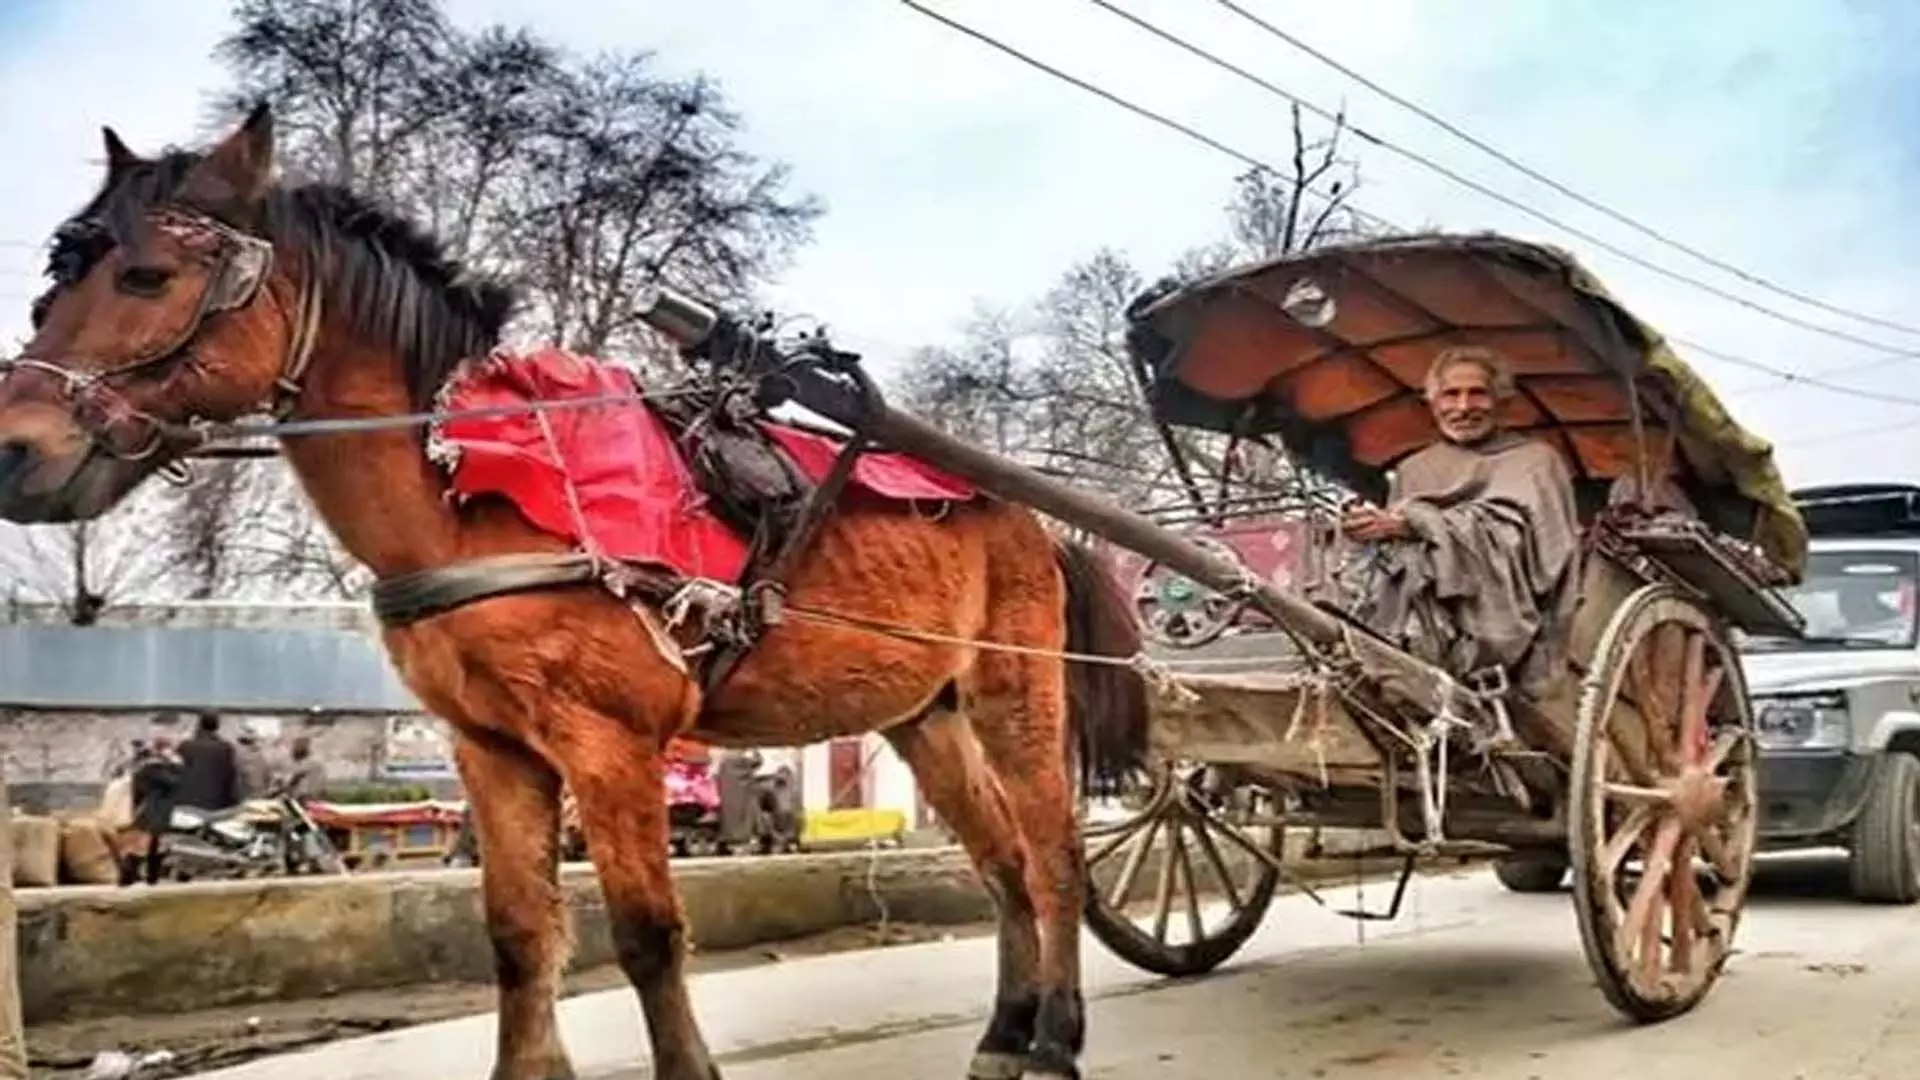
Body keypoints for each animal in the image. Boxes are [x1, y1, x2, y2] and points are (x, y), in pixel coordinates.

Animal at [0, 105, 1144, 1068]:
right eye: (56, 279)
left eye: (148, 276)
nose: (16, 450)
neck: (478, 481)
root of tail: (1031, 518)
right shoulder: (492, 749)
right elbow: (517, 935)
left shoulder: (611, 745)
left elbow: (646, 937)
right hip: (926, 714)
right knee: (1000, 861)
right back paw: (1006, 1029)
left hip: (1014, 690)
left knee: (1053, 855)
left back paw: (1058, 1035)